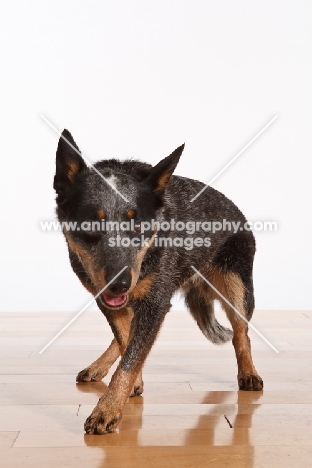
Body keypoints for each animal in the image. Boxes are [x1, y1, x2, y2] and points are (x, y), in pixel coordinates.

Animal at [53, 129, 264, 436]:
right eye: (90, 225)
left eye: (138, 225)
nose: (120, 283)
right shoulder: (106, 296)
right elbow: (127, 342)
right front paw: (130, 386)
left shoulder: (154, 303)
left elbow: (131, 355)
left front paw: (107, 410)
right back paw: (99, 366)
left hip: (238, 288)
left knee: (241, 333)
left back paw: (248, 373)